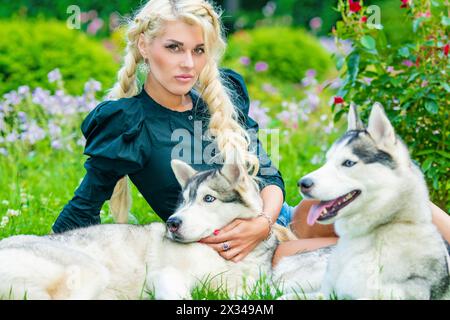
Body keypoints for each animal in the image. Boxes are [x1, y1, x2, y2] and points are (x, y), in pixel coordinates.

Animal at [0, 160, 278, 300]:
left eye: (208, 199)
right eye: (183, 201)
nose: (172, 223)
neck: (218, 255)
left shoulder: (245, 291)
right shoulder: (164, 276)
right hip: (90, 272)